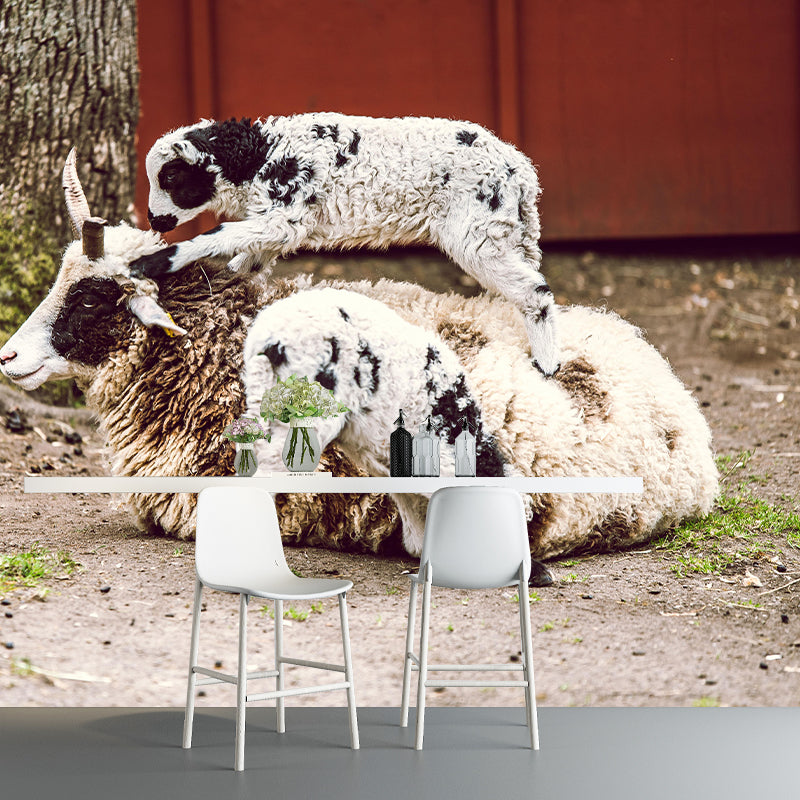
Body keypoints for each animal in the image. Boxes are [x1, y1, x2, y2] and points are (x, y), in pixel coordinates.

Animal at [128, 113, 561, 377]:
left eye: (170, 177)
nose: (154, 220)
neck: (260, 156)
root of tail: (521, 172)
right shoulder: (274, 225)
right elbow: (245, 263)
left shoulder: (286, 218)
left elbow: (218, 234)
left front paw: (152, 263)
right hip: (507, 232)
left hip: (477, 232)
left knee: (535, 291)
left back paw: (547, 366)